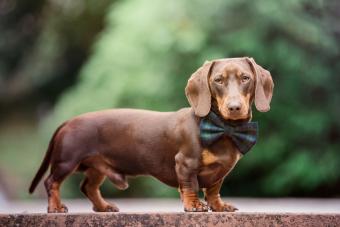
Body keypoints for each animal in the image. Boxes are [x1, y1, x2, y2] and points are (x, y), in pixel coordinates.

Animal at [29, 57, 274, 213]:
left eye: (245, 78)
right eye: (218, 80)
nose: (234, 107)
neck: (221, 128)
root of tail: (68, 122)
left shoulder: (220, 172)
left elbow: (214, 190)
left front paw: (220, 207)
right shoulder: (185, 163)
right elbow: (191, 186)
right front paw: (194, 206)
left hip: (97, 167)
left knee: (88, 187)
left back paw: (103, 207)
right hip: (66, 161)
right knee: (51, 182)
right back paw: (55, 208)